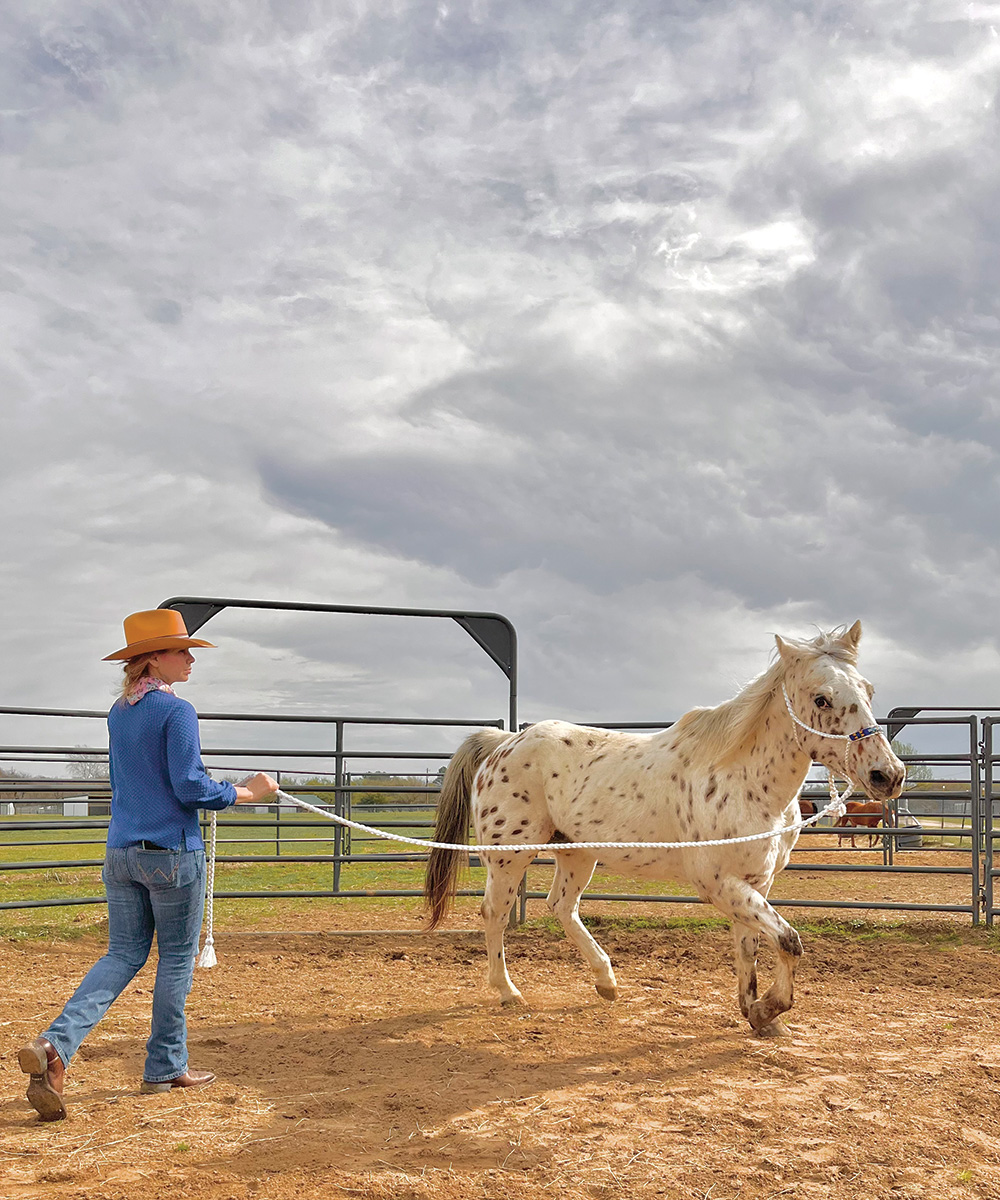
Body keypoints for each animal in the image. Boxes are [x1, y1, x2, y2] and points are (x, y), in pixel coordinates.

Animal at [422, 619, 902, 1032]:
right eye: (821, 699)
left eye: (869, 691)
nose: (888, 775)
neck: (746, 782)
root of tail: (502, 743)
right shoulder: (720, 884)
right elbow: (788, 941)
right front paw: (769, 1009)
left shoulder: (756, 883)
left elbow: (749, 949)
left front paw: (756, 1014)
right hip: (509, 857)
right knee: (495, 914)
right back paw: (509, 992)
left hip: (576, 853)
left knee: (561, 906)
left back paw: (606, 983)